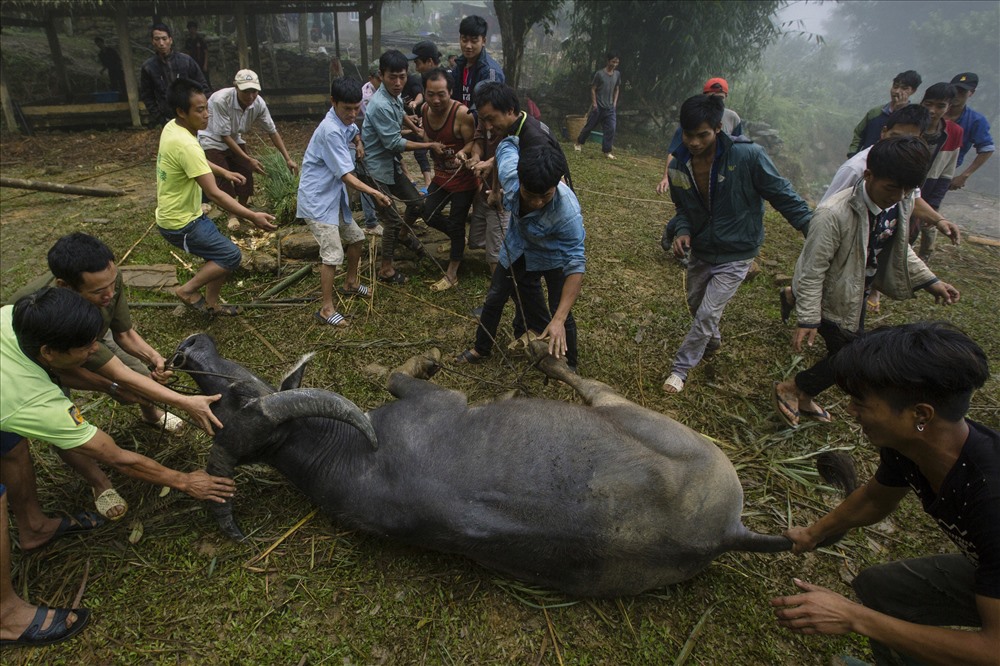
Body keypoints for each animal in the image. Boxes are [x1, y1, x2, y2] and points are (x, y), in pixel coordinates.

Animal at [170, 332, 852, 596]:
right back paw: (544, 358)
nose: (190, 350)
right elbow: (396, 375)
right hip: (642, 416)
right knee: (587, 382)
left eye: (233, 395)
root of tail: (727, 530)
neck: (342, 455)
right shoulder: (437, 400)